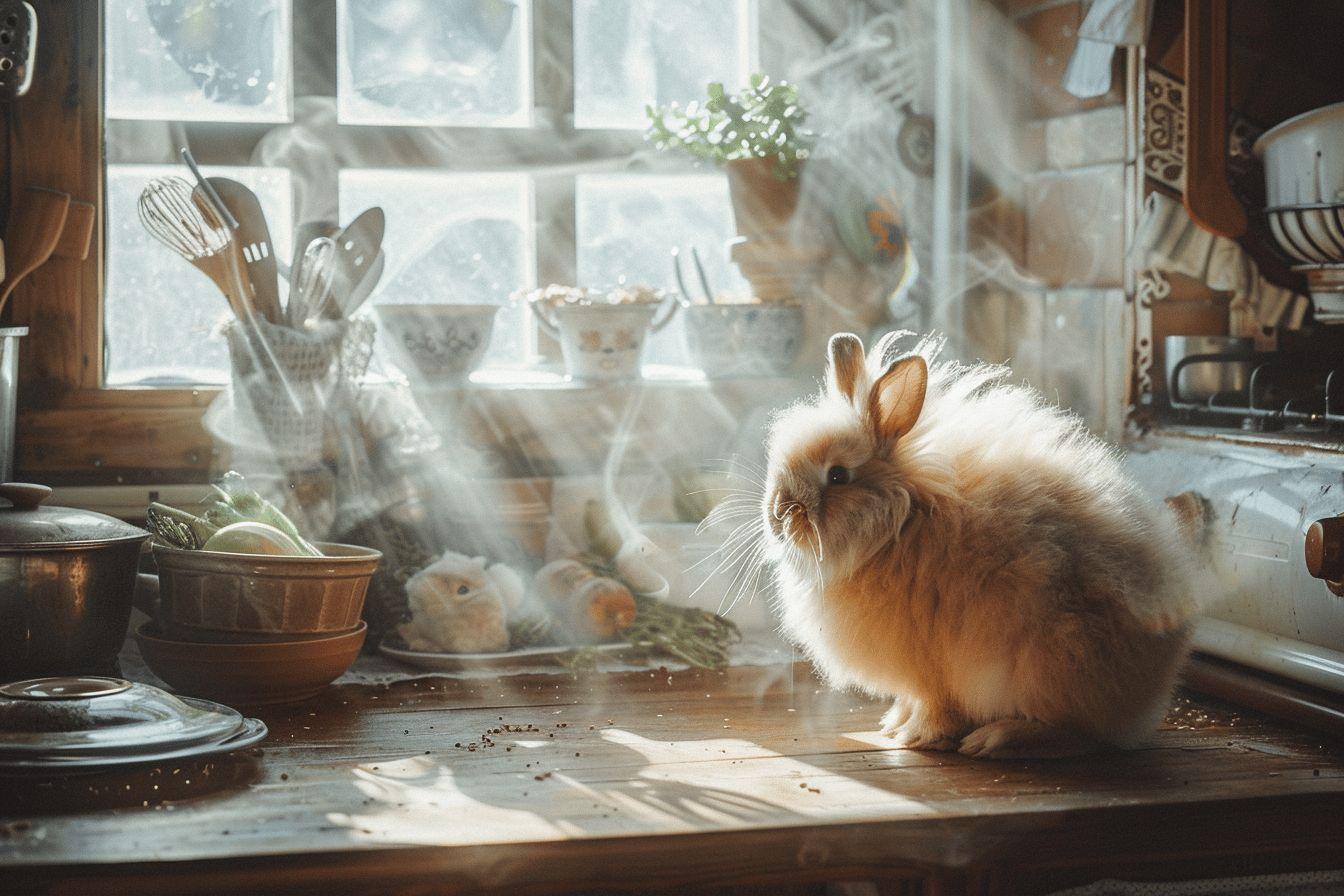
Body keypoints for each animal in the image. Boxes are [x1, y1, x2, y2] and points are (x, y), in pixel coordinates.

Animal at [761, 331, 1201, 759]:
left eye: (837, 475)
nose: (778, 514)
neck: (896, 527)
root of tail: (1149, 696)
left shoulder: (932, 670)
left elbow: (937, 706)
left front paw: (917, 737)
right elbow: (910, 701)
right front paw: (893, 724)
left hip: (1049, 663)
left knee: (1075, 734)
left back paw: (996, 740)